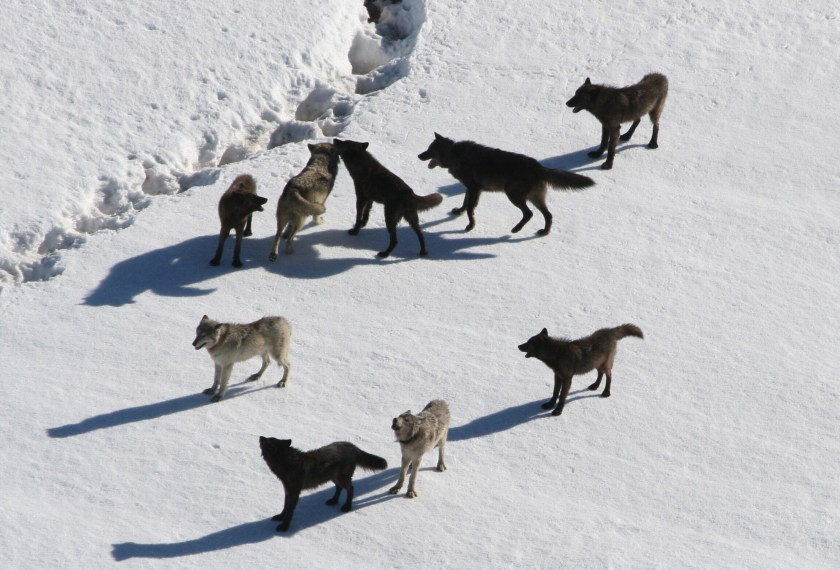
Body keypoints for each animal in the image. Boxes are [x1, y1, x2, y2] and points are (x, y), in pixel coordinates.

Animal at [259, 436, 387, 532]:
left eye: (267, 441)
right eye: (269, 437)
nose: (260, 436)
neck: (287, 463)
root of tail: (353, 446)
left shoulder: (294, 493)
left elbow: (289, 511)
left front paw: (284, 527)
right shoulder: (288, 491)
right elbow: (285, 507)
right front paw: (280, 517)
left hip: (341, 478)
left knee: (351, 488)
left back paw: (346, 507)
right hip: (333, 477)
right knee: (339, 488)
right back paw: (333, 501)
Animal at [417, 133, 595, 234]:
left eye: (429, 150)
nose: (419, 156)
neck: (455, 155)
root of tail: (539, 167)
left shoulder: (474, 189)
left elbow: (470, 209)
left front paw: (470, 226)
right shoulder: (470, 188)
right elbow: (465, 204)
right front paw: (458, 212)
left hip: (513, 195)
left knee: (529, 214)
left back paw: (516, 229)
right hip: (534, 198)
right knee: (548, 215)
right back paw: (544, 232)